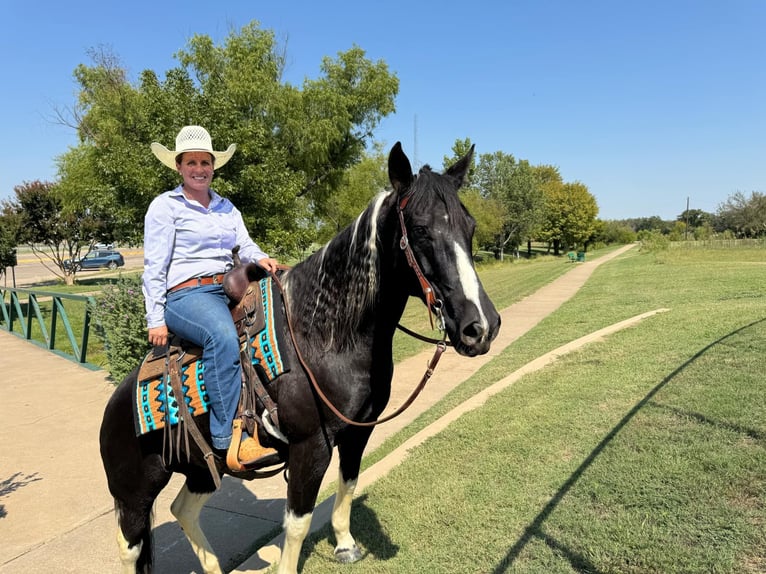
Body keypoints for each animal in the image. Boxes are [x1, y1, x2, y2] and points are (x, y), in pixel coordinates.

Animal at [99, 141, 501, 573]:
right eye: (422, 230)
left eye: (470, 227)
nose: (481, 326)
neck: (324, 338)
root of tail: (115, 404)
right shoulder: (311, 447)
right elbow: (297, 522)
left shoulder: (357, 432)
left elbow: (348, 484)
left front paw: (345, 544)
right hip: (135, 490)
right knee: (130, 546)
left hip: (202, 468)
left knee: (183, 510)